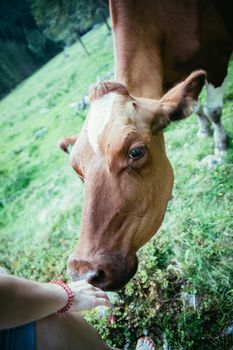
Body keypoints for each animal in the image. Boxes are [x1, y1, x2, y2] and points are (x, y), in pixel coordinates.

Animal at [60, 0, 233, 290]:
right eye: (77, 170)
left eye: (136, 152)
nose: (85, 272)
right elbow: (196, 106)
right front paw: (204, 130)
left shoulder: (217, 56)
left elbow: (213, 109)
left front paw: (220, 146)